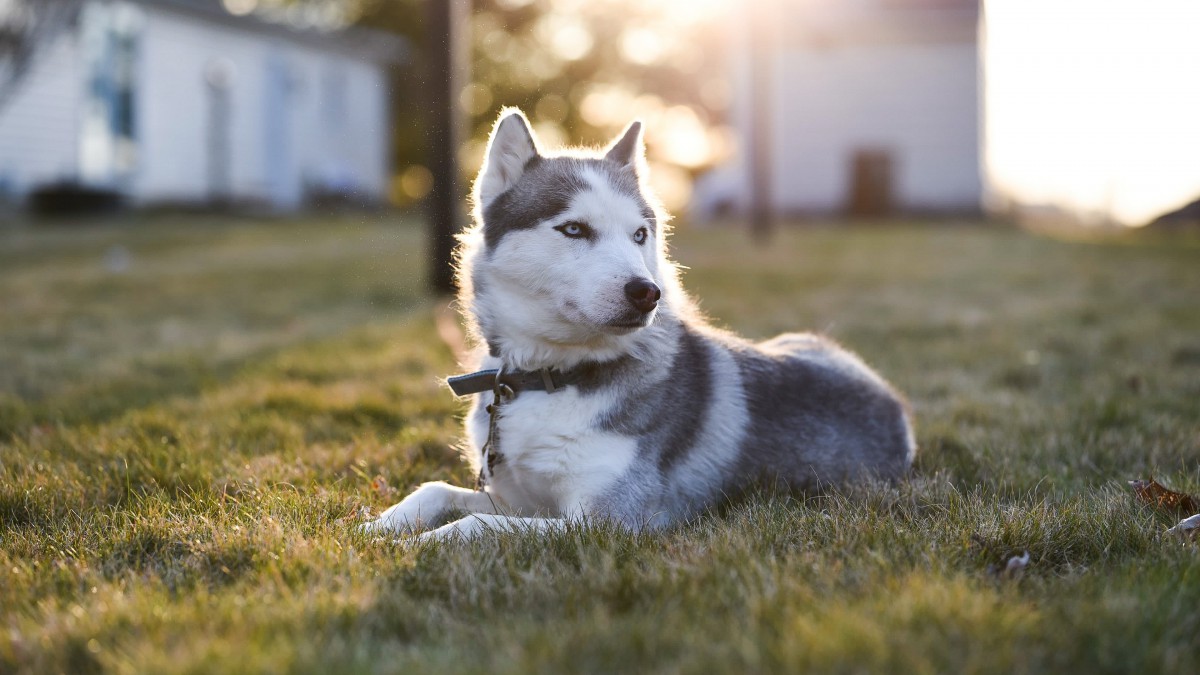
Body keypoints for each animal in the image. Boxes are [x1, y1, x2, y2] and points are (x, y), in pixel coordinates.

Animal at [360, 110, 912, 540]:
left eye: (640, 234)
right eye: (574, 229)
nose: (647, 292)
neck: (550, 377)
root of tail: (894, 405)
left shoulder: (609, 521)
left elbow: (477, 525)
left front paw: (418, 545)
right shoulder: (520, 499)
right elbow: (434, 491)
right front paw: (374, 528)